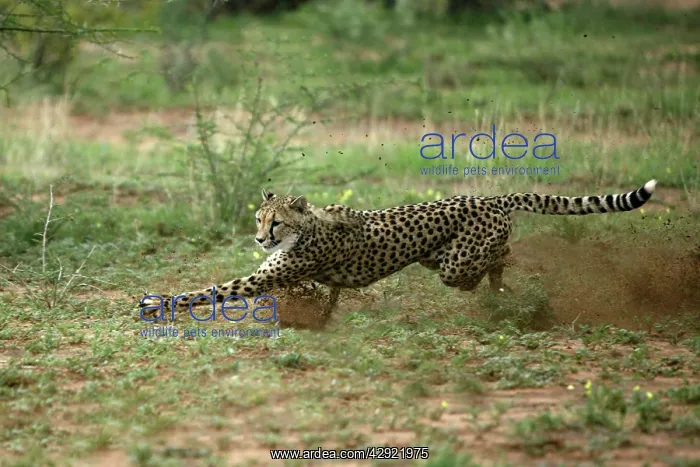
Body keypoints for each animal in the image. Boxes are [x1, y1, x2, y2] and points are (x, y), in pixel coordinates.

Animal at [139, 179, 657, 319]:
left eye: (275, 222)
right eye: (258, 218)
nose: (259, 238)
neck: (304, 230)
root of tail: (490, 197)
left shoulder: (266, 274)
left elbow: (209, 290)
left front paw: (155, 303)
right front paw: (323, 310)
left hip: (454, 264)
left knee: (499, 257)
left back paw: (504, 283)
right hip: (436, 258)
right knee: (497, 262)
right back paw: (501, 290)